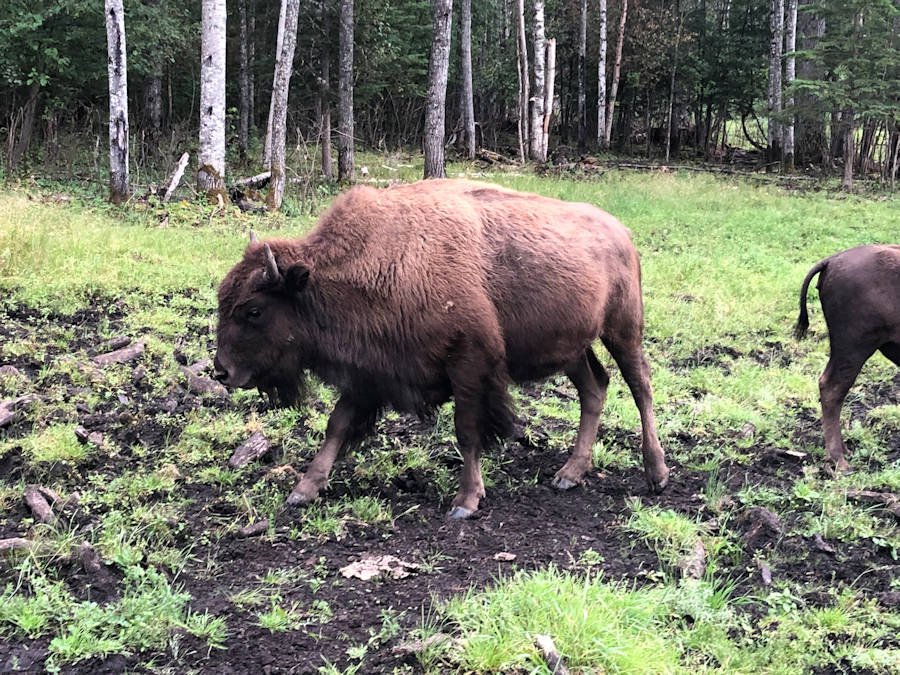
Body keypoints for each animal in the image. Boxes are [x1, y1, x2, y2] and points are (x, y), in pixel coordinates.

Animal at [213, 179, 669, 518]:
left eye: (253, 310)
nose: (221, 371)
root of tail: (622, 233)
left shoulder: (468, 363)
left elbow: (467, 430)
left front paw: (466, 501)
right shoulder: (369, 371)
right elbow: (337, 425)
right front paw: (304, 489)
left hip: (623, 329)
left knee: (640, 386)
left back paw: (656, 473)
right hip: (572, 347)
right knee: (594, 388)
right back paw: (569, 474)